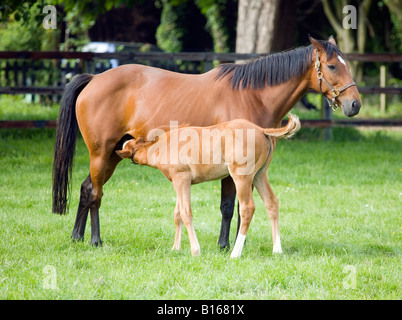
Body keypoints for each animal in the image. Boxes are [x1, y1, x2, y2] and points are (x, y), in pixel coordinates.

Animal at [116, 114, 298, 258]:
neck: (162, 146)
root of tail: (261, 130)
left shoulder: (181, 179)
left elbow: (186, 213)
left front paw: (195, 250)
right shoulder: (179, 181)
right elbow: (177, 213)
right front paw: (175, 248)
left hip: (241, 177)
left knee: (247, 208)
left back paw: (235, 253)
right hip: (260, 175)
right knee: (272, 203)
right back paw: (277, 250)